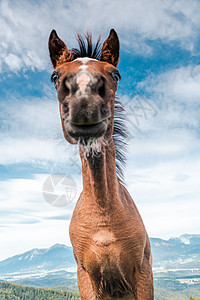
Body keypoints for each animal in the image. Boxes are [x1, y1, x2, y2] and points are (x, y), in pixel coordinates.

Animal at [48, 28, 155, 300]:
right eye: (55, 76)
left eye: (115, 74)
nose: (85, 104)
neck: (103, 221)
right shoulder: (85, 278)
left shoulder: (143, 275)